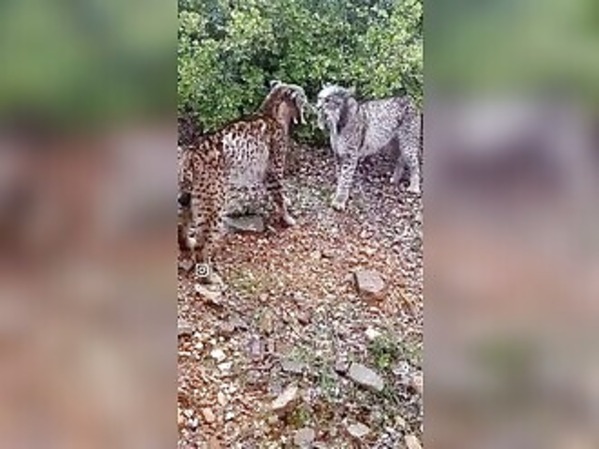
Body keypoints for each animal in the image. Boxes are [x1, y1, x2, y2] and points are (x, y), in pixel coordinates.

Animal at [178, 81, 309, 283]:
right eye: (303, 97)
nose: (310, 102)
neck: (271, 111)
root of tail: (192, 151)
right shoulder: (274, 172)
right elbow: (279, 195)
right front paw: (287, 219)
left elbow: (279, 195)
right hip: (214, 203)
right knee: (203, 243)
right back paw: (209, 277)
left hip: (192, 197)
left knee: (181, 225)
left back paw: (187, 244)